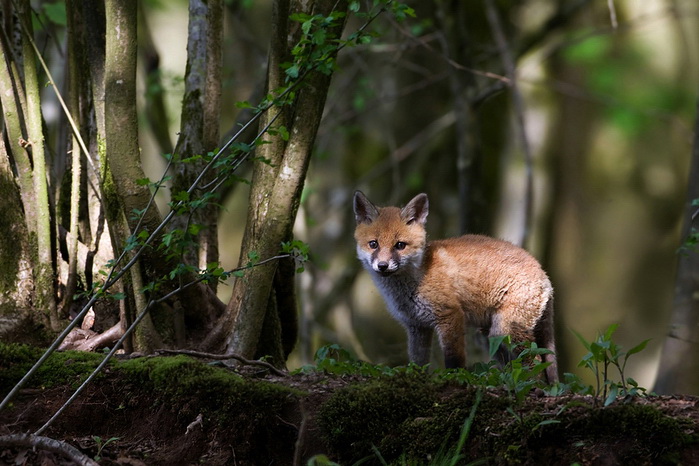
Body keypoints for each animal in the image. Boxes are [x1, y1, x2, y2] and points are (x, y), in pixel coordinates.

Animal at [352, 189, 560, 382]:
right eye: (373, 244)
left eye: (400, 245)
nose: (382, 266)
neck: (416, 280)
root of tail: (543, 271)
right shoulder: (416, 326)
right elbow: (418, 362)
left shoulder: (450, 315)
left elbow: (454, 360)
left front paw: (455, 378)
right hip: (492, 336)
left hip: (506, 330)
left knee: (535, 362)